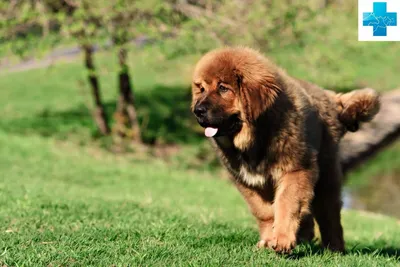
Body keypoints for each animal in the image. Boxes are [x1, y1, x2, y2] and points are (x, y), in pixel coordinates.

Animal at [189, 47, 380, 254]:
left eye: (223, 88)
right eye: (201, 89)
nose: (197, 110)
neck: (256, 138)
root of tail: (329, 96)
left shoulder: (296, 170)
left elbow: (286, 204)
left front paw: (282, 239)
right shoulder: (246, 181)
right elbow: (264, 211)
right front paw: (267, 240)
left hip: (326, 176)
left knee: (329, 214)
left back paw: (334, 248)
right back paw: (304, 237)